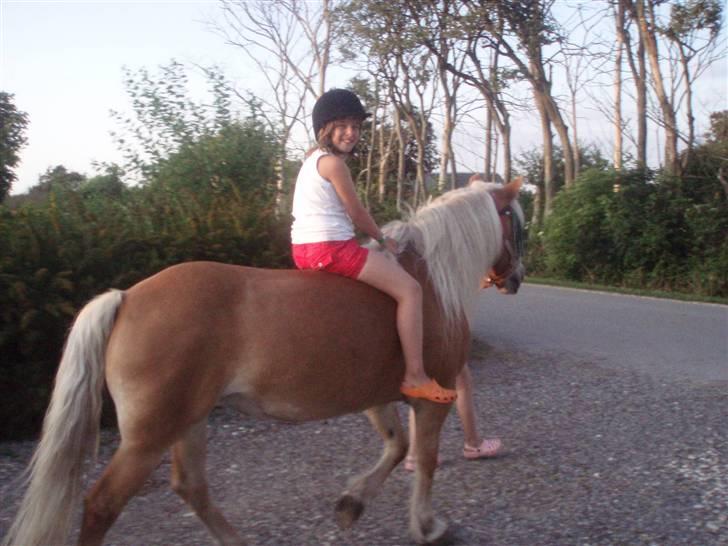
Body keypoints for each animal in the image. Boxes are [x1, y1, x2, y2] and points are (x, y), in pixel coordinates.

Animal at [1, 176, 524, 540]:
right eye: (516, 222)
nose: (517, 278)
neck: (428, 280)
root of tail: (127, 297)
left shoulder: (377, 398)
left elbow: (397, 449)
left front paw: (351, 504)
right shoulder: (433, 397)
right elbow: (426, 459)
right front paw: (427, 526)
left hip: (189, 421)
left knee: (191, 487)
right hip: (149, 437)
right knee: (102, 505)